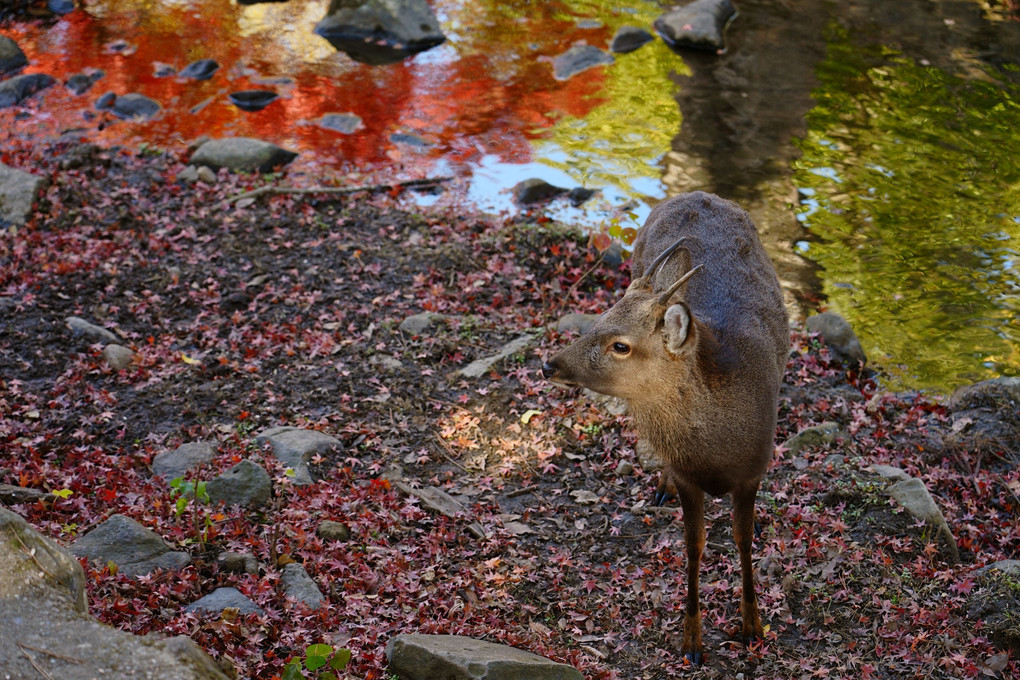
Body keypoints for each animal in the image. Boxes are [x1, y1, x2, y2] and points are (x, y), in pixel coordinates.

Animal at [542, 191, 787, 664]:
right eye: (598, 319)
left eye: (621, 345)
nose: (550, 364)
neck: (717, 451)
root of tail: (696, 193)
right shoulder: (691, 477)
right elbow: (693, 547)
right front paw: (692, 640)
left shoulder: (754, 470)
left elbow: (743, 541)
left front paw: (752, 626)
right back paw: (661, 486)